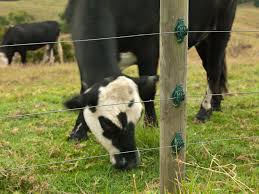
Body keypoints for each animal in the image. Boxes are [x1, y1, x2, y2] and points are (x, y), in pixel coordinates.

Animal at [66, 0, 239, 141]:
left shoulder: (149, 48)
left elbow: (148, 92)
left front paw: (151, 124)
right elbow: (84, 91)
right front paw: (77, 132)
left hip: (221, 29)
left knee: (214, 70)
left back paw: (204, 111)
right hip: (202, 37)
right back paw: (216, 104)